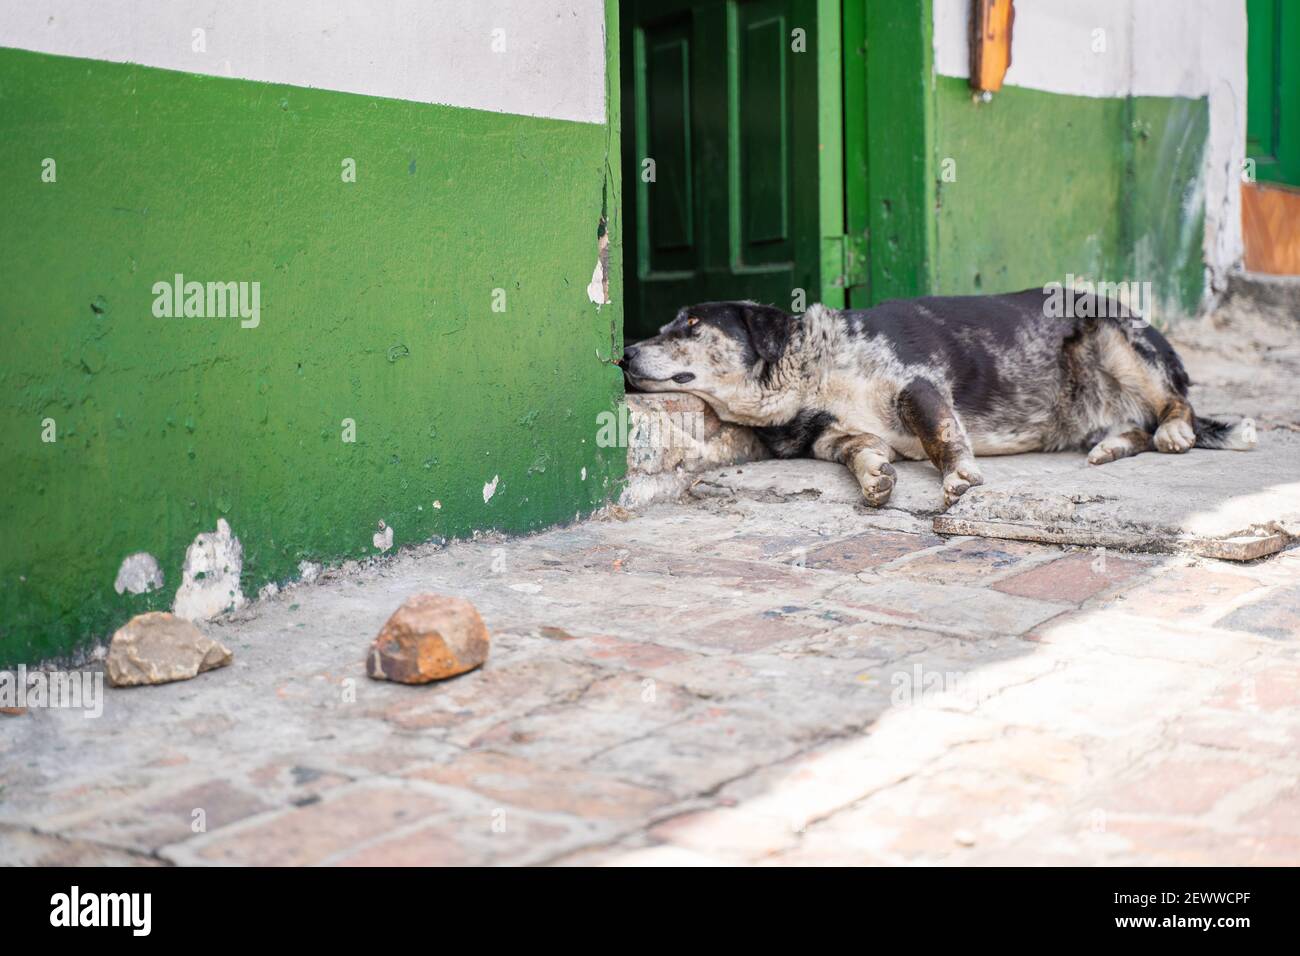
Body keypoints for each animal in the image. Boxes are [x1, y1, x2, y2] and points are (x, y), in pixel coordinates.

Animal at [624, 290, 1253, 509]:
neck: (810, 371)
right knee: (1134, 428)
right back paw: (1114, 447)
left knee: (1175, 406)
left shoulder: (919, 385)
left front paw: (957, 476)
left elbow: (939, 433)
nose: (624, 354)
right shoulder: (832, 435)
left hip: (1115, 338)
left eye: (691, 325)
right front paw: (875, 477)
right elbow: (859, 450)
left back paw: (1176, 430)